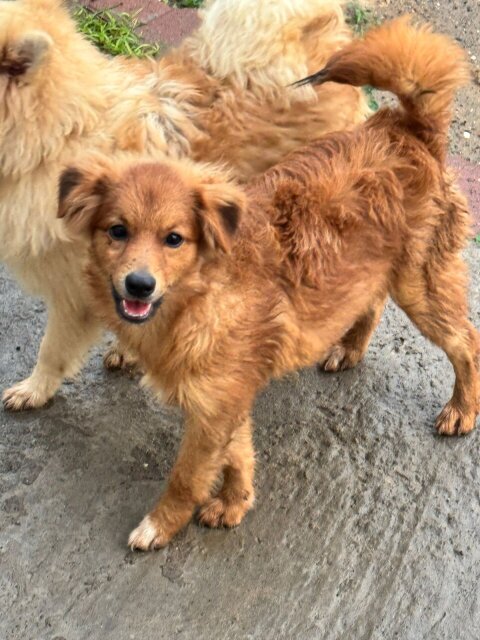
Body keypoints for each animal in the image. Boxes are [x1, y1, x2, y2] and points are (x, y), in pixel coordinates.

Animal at [0, 0, 370, 410]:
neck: (59, 135)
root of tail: (327, 36)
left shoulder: (73, 293)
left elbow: (51, 351)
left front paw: (35, 389)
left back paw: (345, 346)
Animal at [58, 20, 478, 552]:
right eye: (117, 231)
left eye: (174, 239)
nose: (139, 285)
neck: (202, 296)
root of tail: (407, 131)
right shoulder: (223, 401)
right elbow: (238, 457)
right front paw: (235, 504)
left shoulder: (213, 411)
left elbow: (187, 476)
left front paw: (162, 524)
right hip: (375, 271)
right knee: (371, 304)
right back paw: (350, 347)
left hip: (422, 287)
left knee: (466, 342)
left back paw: (462, 409)